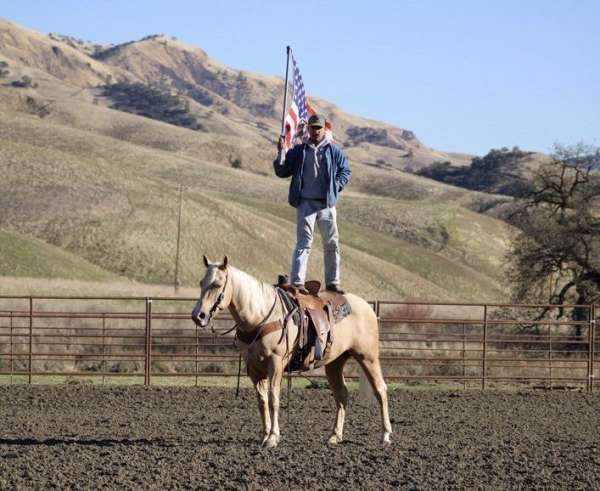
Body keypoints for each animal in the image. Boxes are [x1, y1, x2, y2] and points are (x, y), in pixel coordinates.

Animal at [190, 258, 392, 450]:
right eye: (201, 282)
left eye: (217, 284)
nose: (198, 315)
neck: (260, 315)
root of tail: (367, 307)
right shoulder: (253, 368)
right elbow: (262, 401)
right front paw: (264, 435)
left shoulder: (275, 363)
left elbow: (273, 399)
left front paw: (273, 437)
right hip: (334, 363)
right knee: (341, 395)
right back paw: (335, 436)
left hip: (368, 357)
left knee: (380, 389)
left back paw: (385, 435)